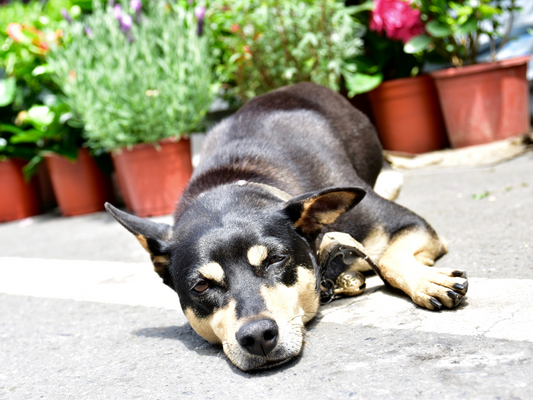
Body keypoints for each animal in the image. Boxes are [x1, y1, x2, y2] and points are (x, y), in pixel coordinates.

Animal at [106, 82, 468, 372]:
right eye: (201, 287)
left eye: (276, 259)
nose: (257, 337)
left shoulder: (402, 221)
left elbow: (390, 259)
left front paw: (426, 281)